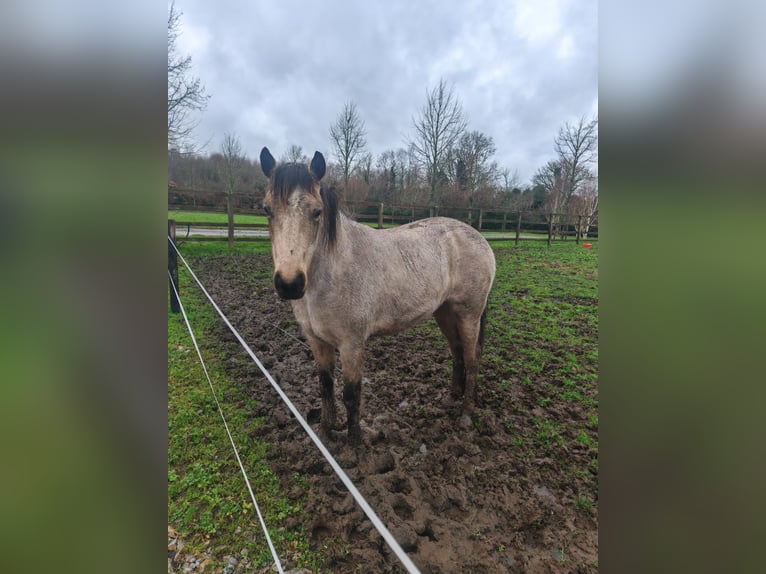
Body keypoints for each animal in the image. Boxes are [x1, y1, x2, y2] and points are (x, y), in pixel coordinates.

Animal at [260, 147, 498, 446]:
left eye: (317, 212)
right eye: (267, 209)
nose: (290, 284)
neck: (332, 272)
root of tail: (479, 238)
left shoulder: (352, 345)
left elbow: (351, 395)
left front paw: (355, 445)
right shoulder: (317, 341)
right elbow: (325, 387)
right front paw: (324, 434)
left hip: (469, 315)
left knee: (471, 357)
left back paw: (466, 414)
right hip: (444, 312)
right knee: (456, 352)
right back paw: (451, 398)